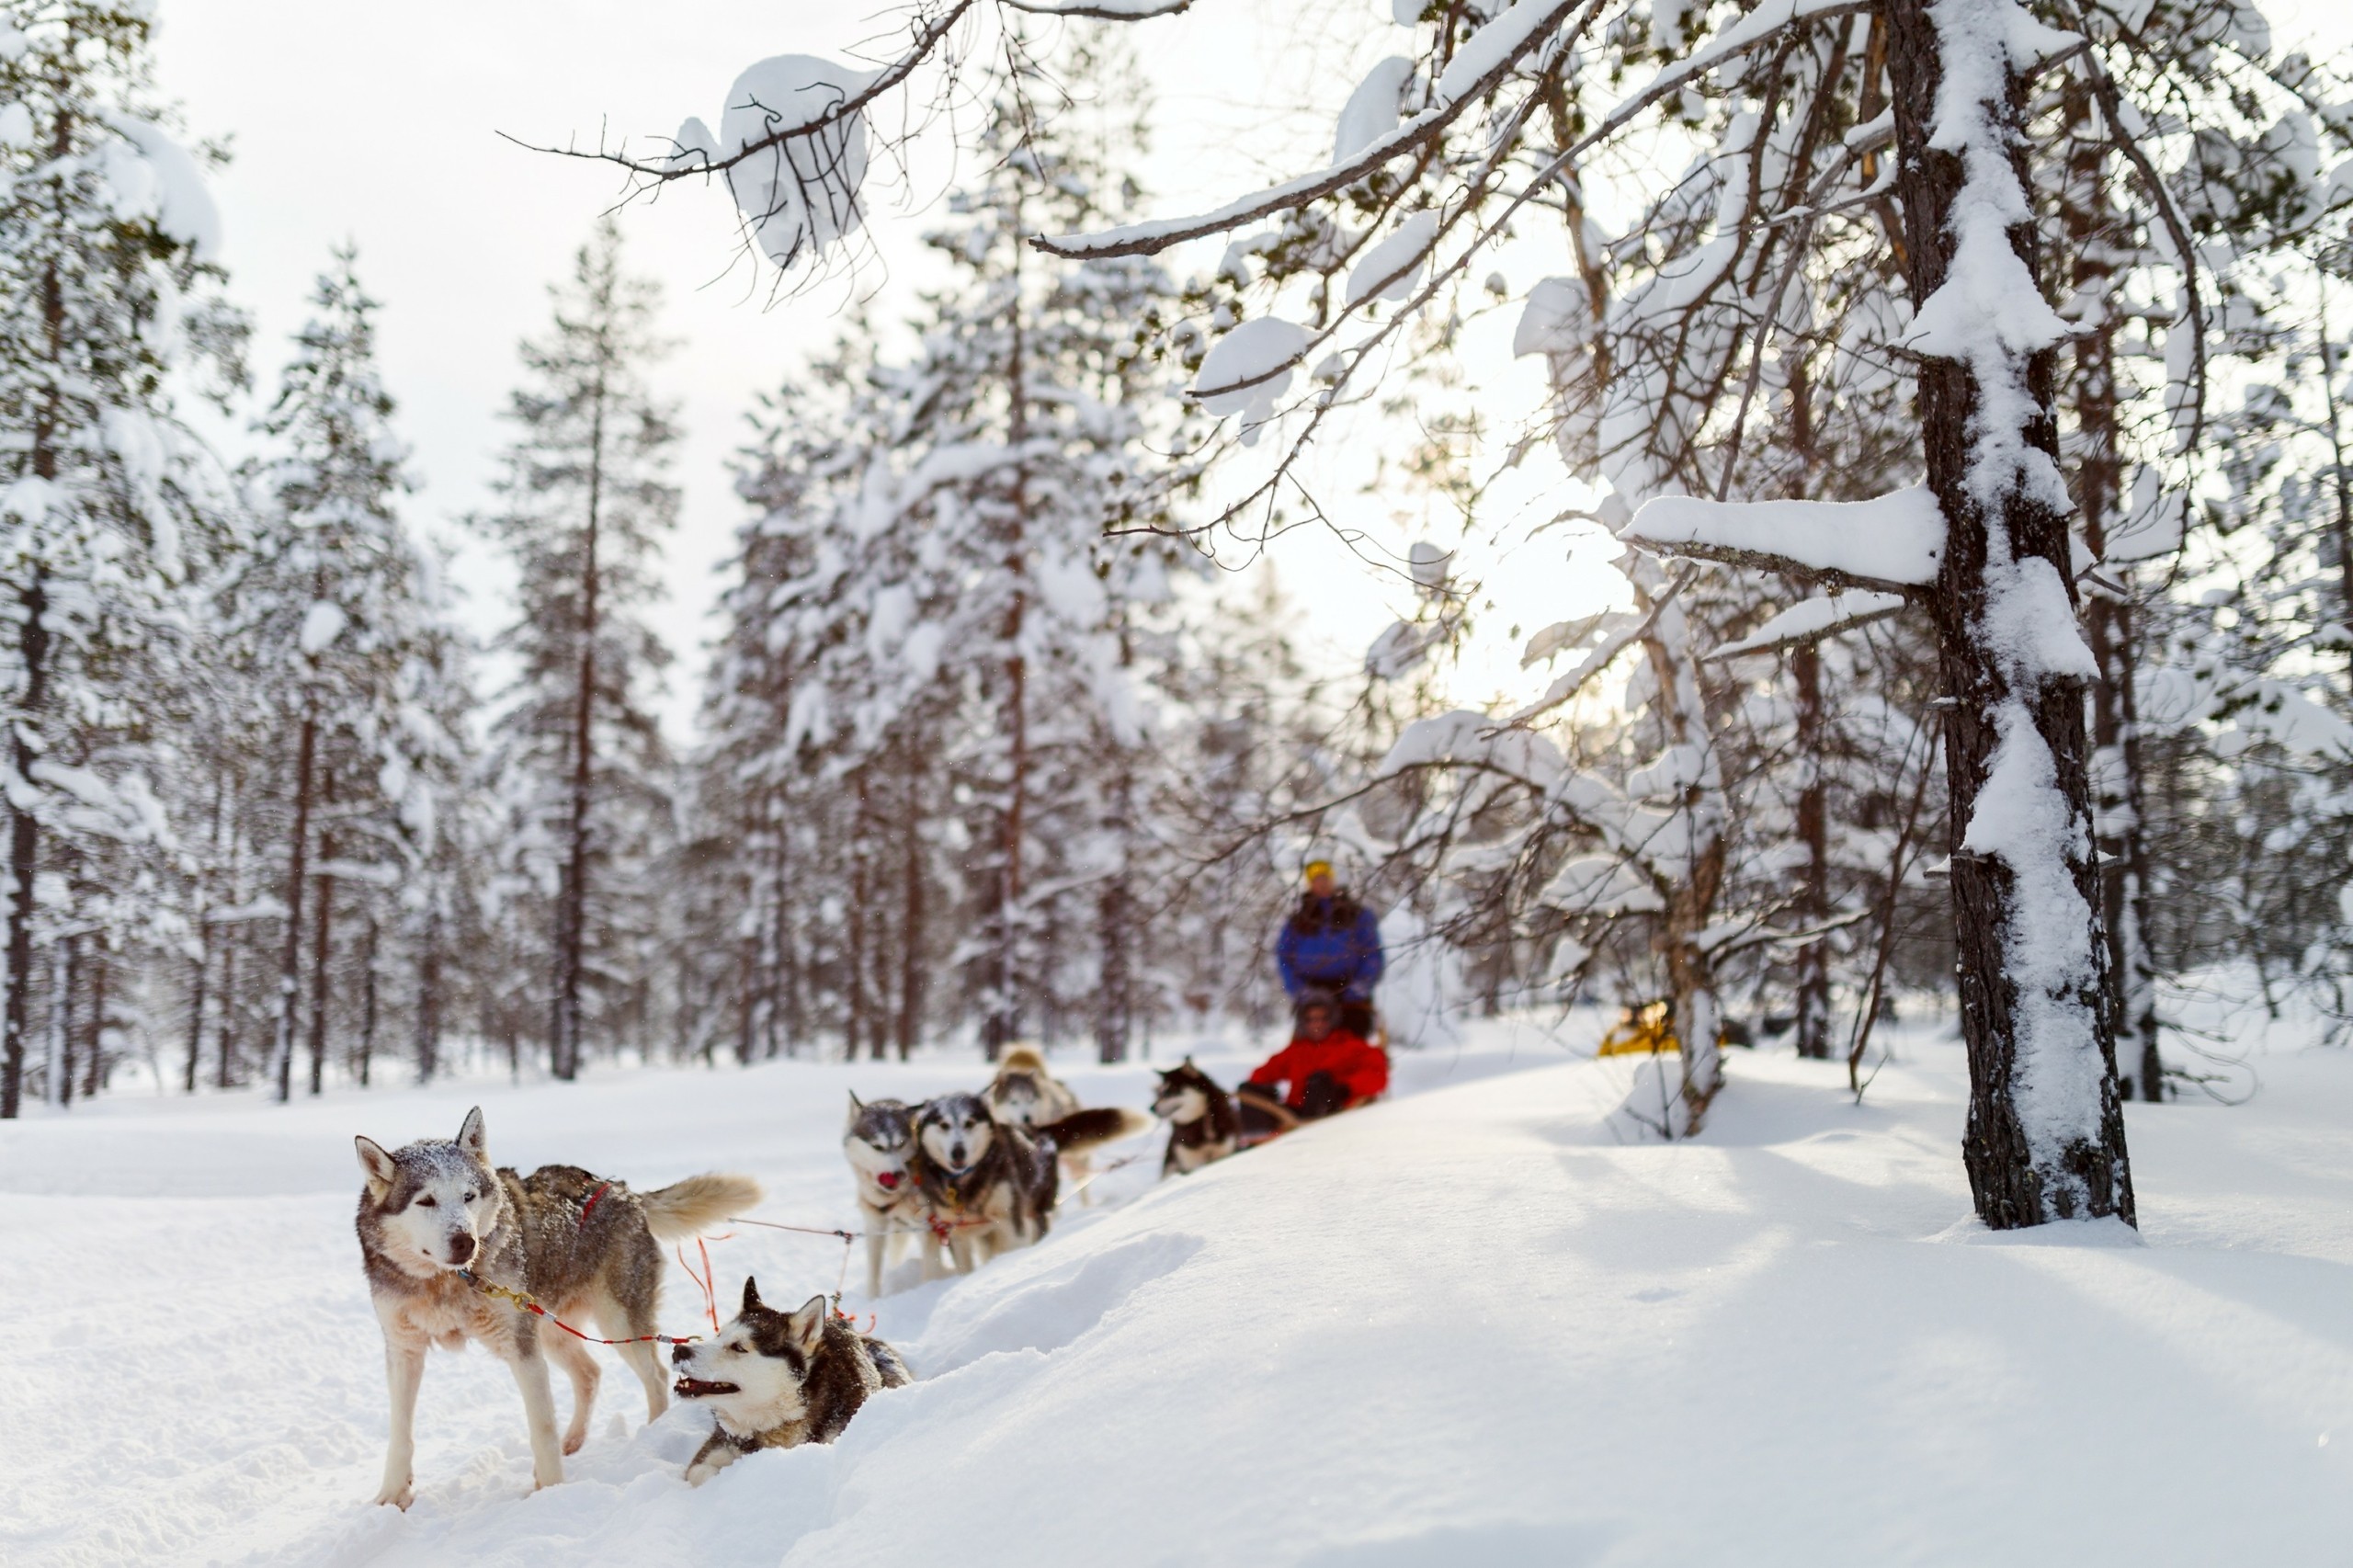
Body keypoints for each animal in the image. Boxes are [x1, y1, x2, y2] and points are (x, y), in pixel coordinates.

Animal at [353, 1096, 757, 1506]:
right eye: (426, 1201)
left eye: (468, 1196)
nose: (465, 1241)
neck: (447, 1281)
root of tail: (623, 1191)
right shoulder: (403, 1351)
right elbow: (400, 1433)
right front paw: (392, 1494)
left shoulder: (522, 1349)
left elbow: (541, 1427)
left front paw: (548, 1491)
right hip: (549, 1327)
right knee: (590, 1373)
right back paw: (574, 1440)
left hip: (614, 1322)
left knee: (655, 1376)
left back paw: (650, 1433)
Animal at [677, 1271, 913, 1478]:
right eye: (718, 1336)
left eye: (739, 1347)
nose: (678, 1351)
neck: (781, 1420)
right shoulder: (715, 1449)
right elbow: (700, 1473)